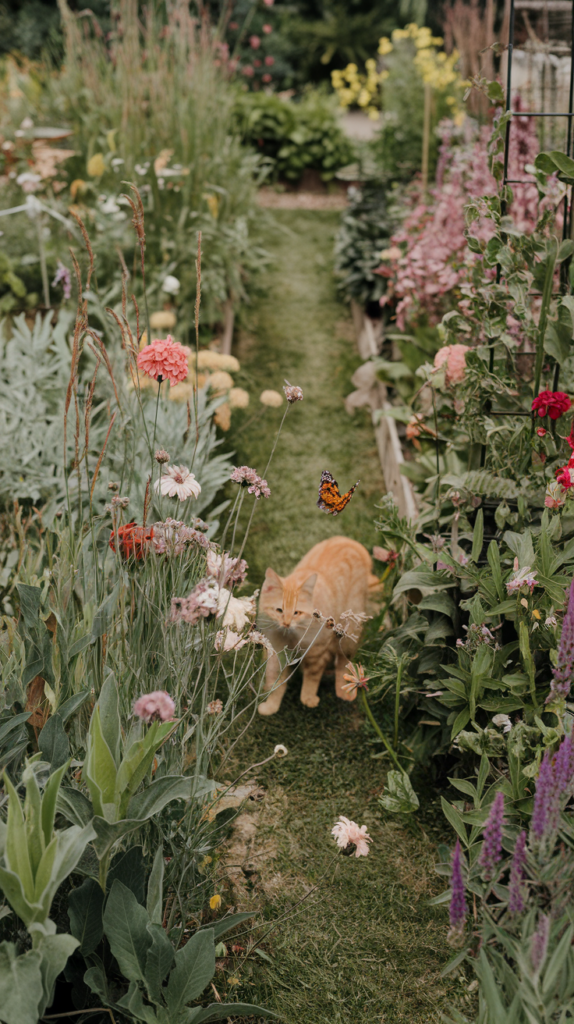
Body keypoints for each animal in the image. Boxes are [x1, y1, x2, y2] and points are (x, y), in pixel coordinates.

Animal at [255, 532, 376, 716]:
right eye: (279, 610)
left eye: (296, 612)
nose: (286, 623)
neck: (292, 636)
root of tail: (351, 541)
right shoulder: (276, 653)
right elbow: (276, 680)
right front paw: (271, 704)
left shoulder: (317, 650)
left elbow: (313, 675)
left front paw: (308, 697)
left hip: (349, 635)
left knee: (343, 661)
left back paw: (344, 690)